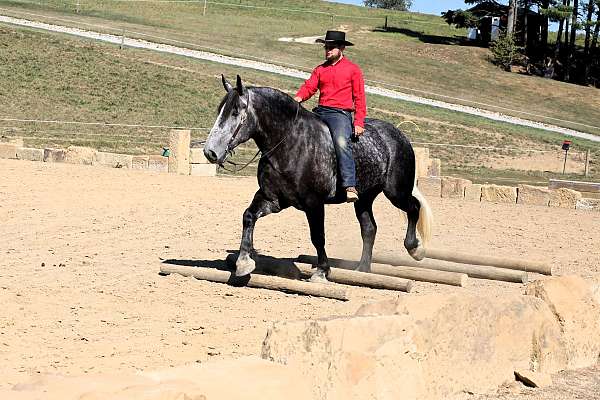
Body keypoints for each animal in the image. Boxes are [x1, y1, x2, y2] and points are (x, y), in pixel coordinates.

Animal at [206, 75, 432, 282]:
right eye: (219, 110)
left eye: (235, 112)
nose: (210, 152)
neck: (291, 145)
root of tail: (399, 136)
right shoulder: (272, 200)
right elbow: (248, 216)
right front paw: (243, 262)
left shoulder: (314, 203)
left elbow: (317, 236)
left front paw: (322, 271)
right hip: (364, 198)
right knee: (369, 229)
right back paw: (362, 269)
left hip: (396, 192)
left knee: (414, 207)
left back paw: (415, 249)